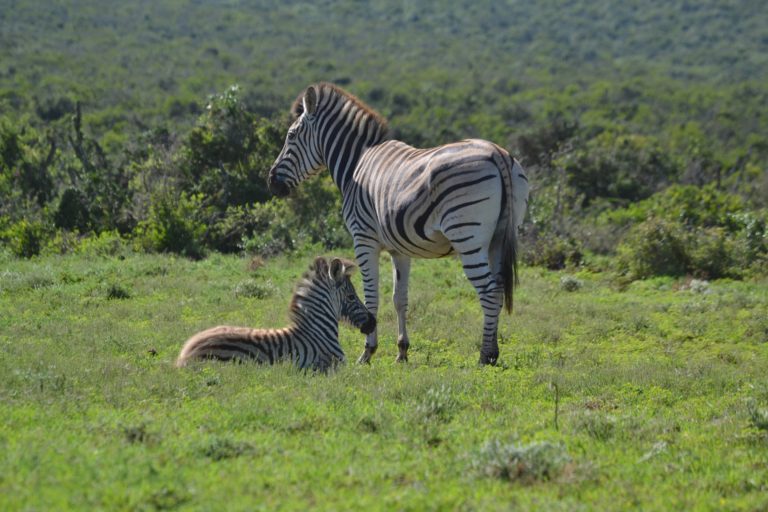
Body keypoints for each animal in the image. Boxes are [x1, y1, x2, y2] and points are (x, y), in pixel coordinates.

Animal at [266, 84, 528, 364]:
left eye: (291, 135)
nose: (271, 182)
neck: (356, 163)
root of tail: (497, 153)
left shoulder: (363, 239)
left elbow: (372, 297)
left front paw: (367, 352)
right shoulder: (399, 249)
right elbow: (399, 298)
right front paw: (402, 351)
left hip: (467, 235)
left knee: (488, 292)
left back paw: (485, 355)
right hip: (499, 238)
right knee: (498, 290)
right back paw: (493, 352)